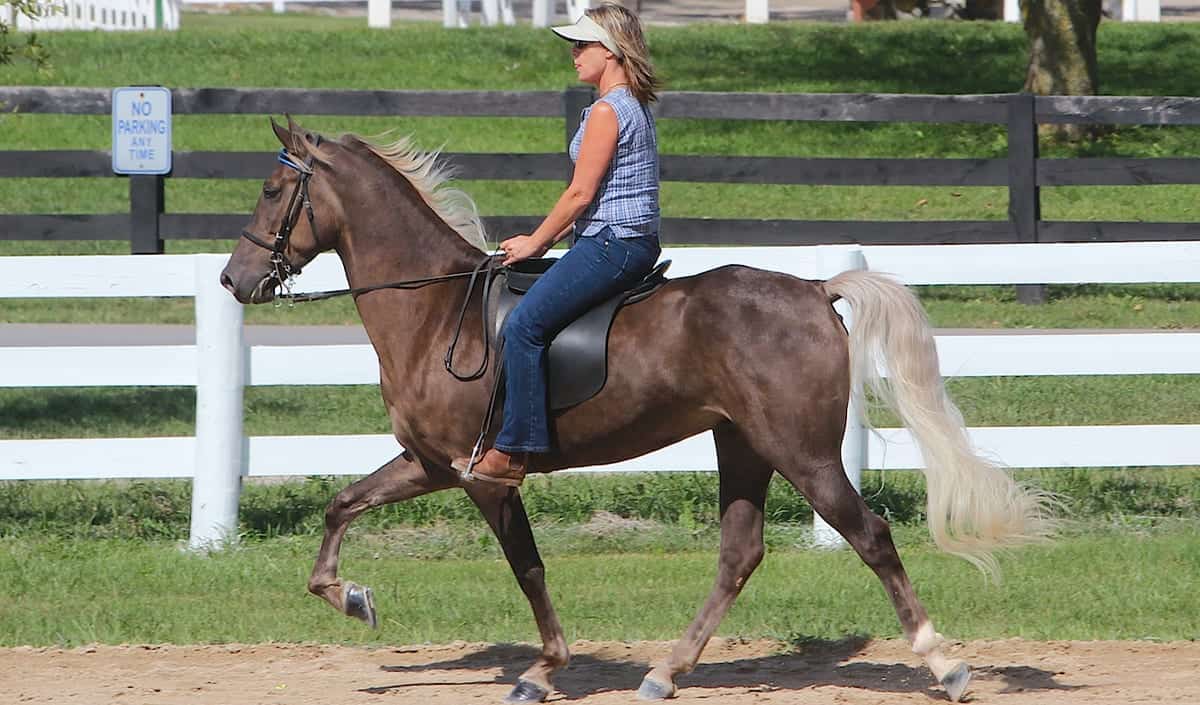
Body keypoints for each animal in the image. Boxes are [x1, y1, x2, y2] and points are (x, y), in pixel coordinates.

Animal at [220, 117, 1053, 704]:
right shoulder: (432, 464)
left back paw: (944, 663)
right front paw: (352, 597)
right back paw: (665, 671)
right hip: (742, 445)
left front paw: (542, 670)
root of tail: (815, 288)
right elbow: (341, 504)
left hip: (803, 451)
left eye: (270, 190)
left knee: (870, 535)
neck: (433, 311)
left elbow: (528, 567)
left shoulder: (485, 477)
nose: (233, 279)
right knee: (739, 553)